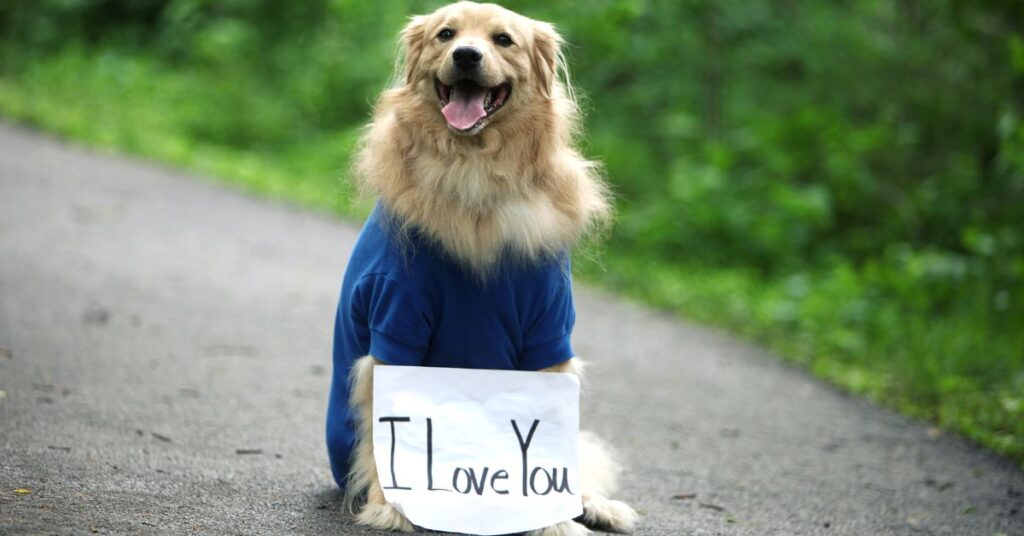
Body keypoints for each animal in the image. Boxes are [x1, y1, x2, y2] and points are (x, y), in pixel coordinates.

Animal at [323, 2, 634, 532]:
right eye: (446, 35)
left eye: (503, 39)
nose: (466, 56)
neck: (474, 171)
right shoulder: (394, 324)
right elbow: (389, 430)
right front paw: (391, 506)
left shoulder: (548, 333)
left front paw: (554, 517)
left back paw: (593, 504)